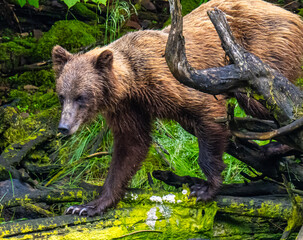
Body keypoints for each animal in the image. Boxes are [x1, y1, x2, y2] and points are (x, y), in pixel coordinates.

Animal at [52, 0, 303, 216]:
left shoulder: (172, 82)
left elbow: (209, 112)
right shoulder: (129, 108)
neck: (132, 84)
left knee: (265, 100)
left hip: (256, 56)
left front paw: (205, 187)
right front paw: (88, 205)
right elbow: (130, 146)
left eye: (81, 97)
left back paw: (277, 143)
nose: (63, 127)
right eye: (62, 95)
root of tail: (291, 14)